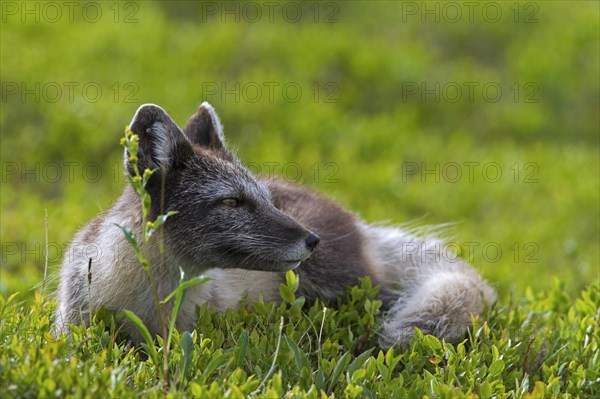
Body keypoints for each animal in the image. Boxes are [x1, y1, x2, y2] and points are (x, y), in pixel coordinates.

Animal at [55, 102, 496, 346]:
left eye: (265, 198)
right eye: (232, 201)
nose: (312, 240)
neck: (146, 306)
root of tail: (360, 225)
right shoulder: (70, 331)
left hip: (340, 285)